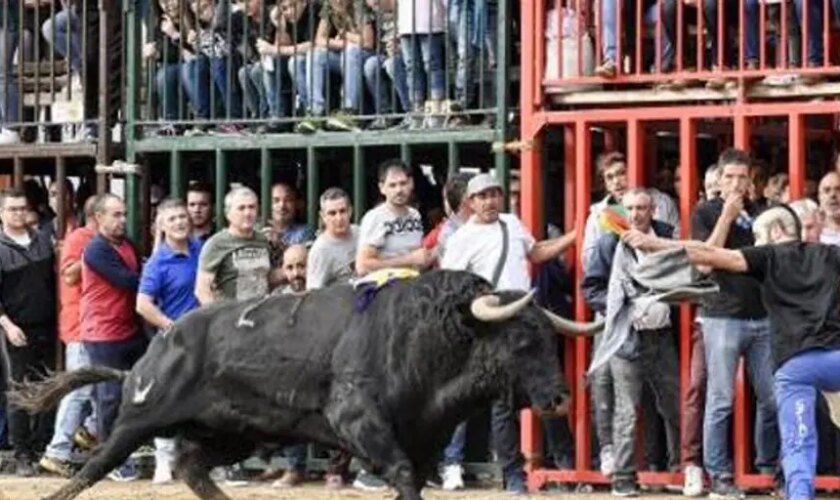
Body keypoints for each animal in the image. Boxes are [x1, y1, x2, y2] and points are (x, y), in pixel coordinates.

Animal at [9, 272, 600, 498]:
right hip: (138, 418)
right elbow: (402, 474)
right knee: (93, 467)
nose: (559, 399)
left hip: (233, 434)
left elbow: (413, 476)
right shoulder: (360, 421)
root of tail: (152, 354)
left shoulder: (424, 436)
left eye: (549, 339)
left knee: (193, 468)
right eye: (520, 341)